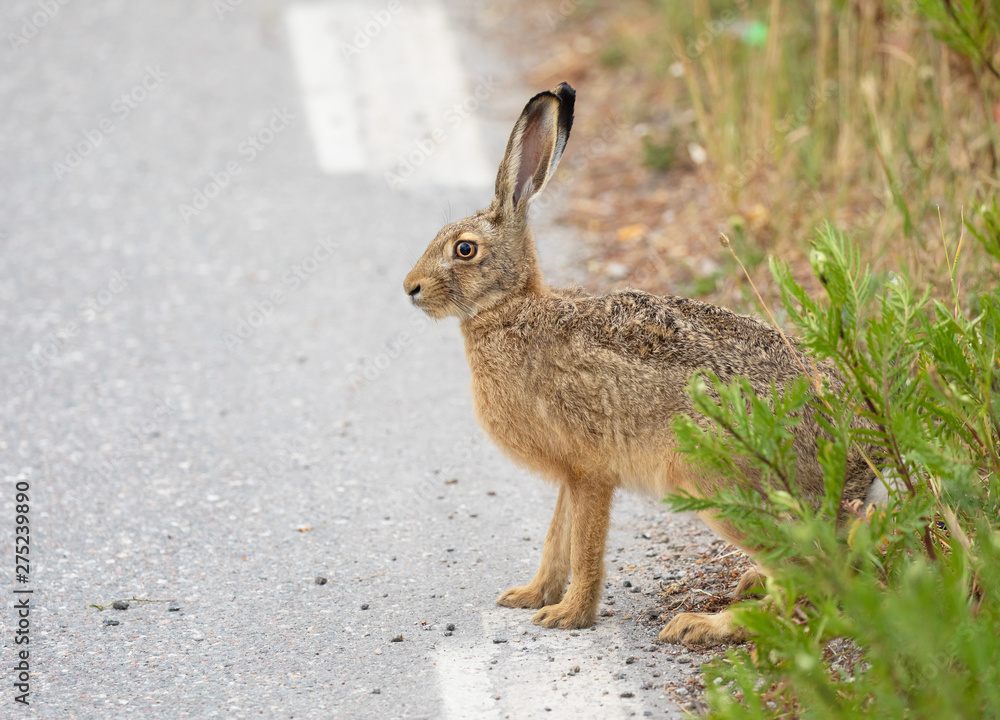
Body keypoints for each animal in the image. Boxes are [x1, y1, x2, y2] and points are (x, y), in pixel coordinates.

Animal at [402, 82, 878, 645]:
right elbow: (555, 538)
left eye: (465, 250)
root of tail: (853, 451)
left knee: (806, 573)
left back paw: (705, 624)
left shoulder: (590, 470)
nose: (410, 288)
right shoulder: (570, 475)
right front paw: (530, 596)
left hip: (713, 481)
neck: (512, 309)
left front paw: (569, 616)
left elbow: (584, 548)